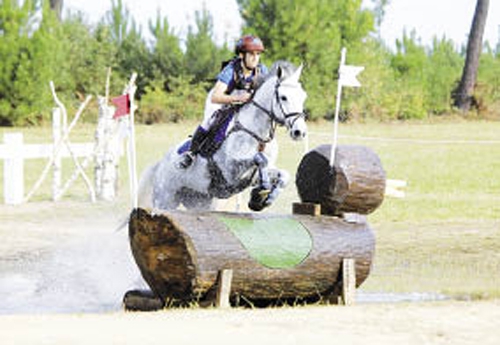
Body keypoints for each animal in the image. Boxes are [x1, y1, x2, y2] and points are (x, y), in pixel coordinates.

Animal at [138, 62, 308, 212]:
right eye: (284, 97)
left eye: (303, 97)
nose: (300, 132)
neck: (257, 133)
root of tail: (160, 164)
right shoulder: (230, 170)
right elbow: (260, 159)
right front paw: (262, 189)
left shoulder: (252, 176)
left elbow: (283, 175)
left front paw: (263, 199)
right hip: (165, 200)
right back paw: (186, 158)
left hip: (199, 201)